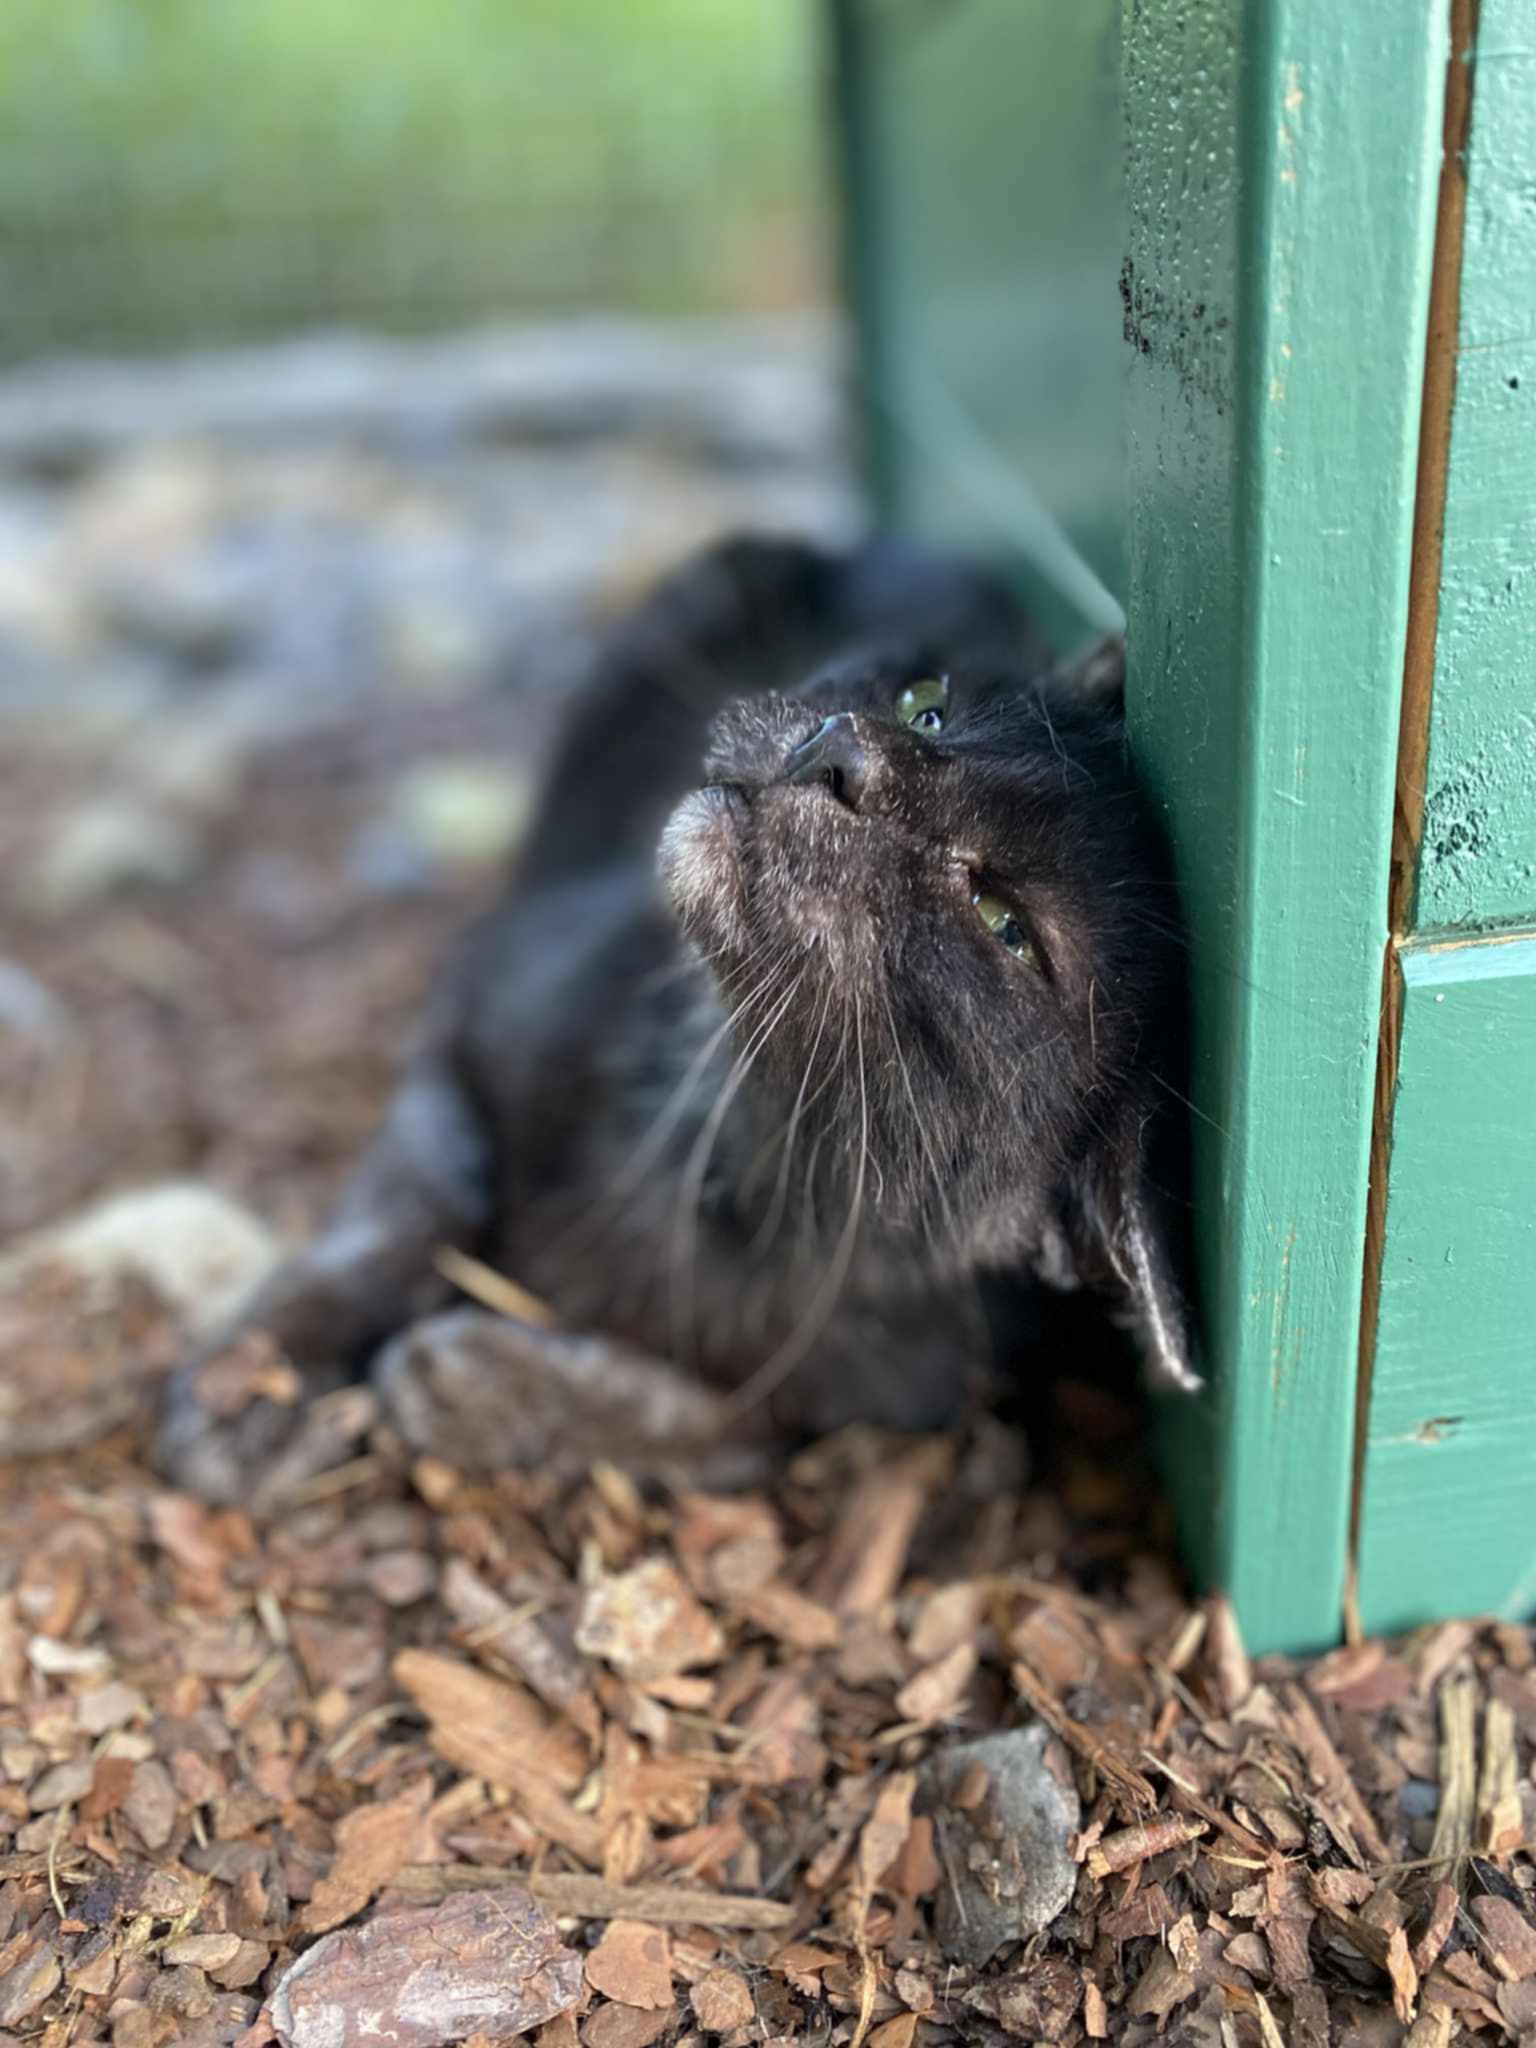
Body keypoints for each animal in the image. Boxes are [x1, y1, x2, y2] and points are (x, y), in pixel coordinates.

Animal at [155, 534, 1198, 1507]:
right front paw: (255, 1386)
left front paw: (470, 1381)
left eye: (1004, 923)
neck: (731, 1153)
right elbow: (407, 1212)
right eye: (925, 703)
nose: (843, 751)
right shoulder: (470, 1015)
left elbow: (705, 1424)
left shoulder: (864, 1401)